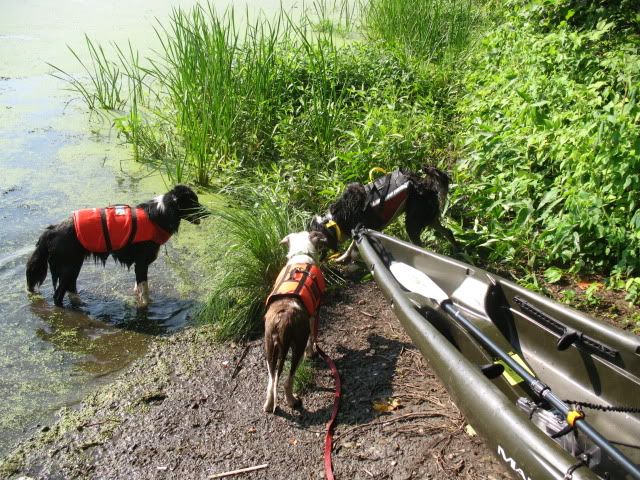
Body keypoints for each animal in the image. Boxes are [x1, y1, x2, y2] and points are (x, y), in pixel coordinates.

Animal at [25, 184, 202, 308]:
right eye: (193, 202)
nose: (207, 212)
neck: (160, 214)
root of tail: (52, 230)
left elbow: (139, 288)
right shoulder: (141, 263)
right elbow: (144, 290)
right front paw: (146, 305)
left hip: (73, 265)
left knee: (70, 288)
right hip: (70, 266)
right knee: (58, 296)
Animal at [262, 230, 328, 412]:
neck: (301, 255)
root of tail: (282, 318)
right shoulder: (315, 314)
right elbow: (313, 337)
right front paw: (312, 352)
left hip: (269, 347)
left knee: (271, 381)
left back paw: (268, 405)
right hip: (297, 344)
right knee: (287, 380)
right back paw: (292, 401)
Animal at [308, 166, 456, 262]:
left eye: (318, 243)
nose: (318, 259)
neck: (339, 218)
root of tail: (427, 185)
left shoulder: (364, 229)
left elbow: (353, 246)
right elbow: (351, 245)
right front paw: (343, 257)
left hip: (413, 223)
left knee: (421, 245)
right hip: (428, 218)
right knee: (448, 232)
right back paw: (457, 250)